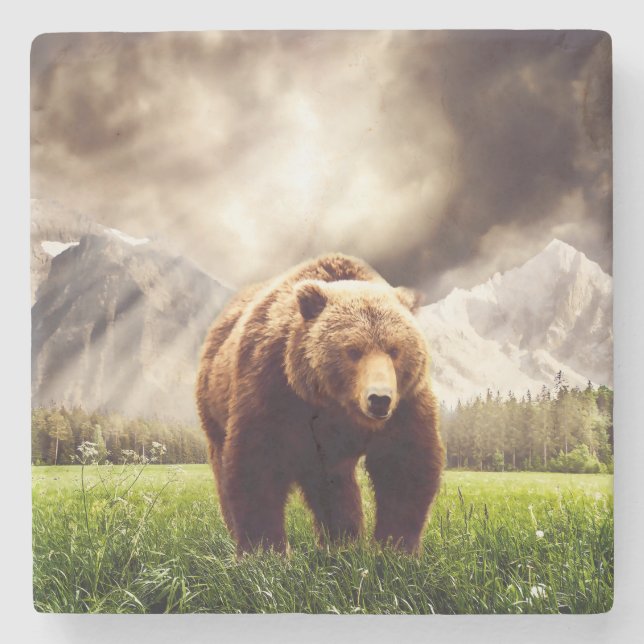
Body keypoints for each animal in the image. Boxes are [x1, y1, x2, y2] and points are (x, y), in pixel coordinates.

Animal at [196, 253, 444, 555]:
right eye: (353, 350)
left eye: (394, 350)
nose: (379, 399)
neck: (334, 405)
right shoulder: (271, 385)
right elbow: (257, 462)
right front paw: (265, 550)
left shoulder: (406, 403)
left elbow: (405, 464)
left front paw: (394, 547)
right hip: (214, 405)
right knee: (222, 464)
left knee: (335, 486)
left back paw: (342, 541)